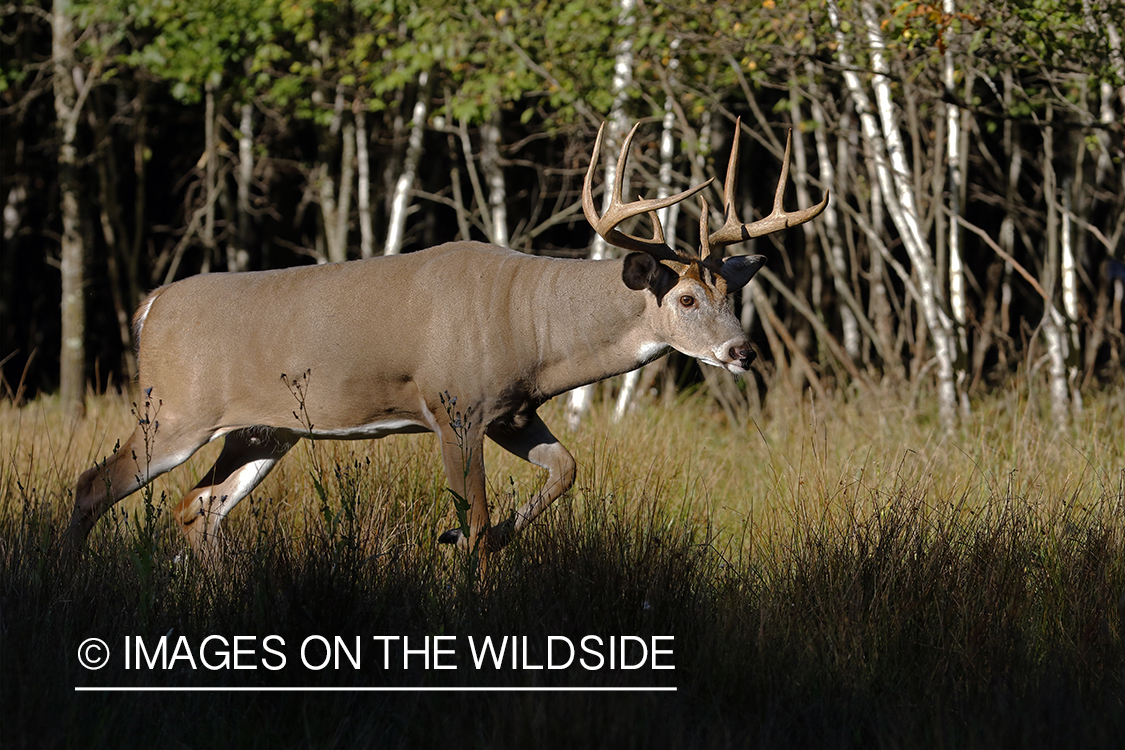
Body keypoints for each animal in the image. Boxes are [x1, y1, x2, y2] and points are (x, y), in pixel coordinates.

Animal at [70, 120, 828, 571]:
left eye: (733, 295)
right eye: (687, 300)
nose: (742, 352)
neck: (533, 321)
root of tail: (149, 306)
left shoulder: (512, 412)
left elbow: (565, 471)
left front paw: (460, 537)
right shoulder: (453, 407)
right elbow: (481, 512)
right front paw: (470, 561)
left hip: (261, 431)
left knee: (198, 509)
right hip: (173, 410)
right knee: (92, 485)